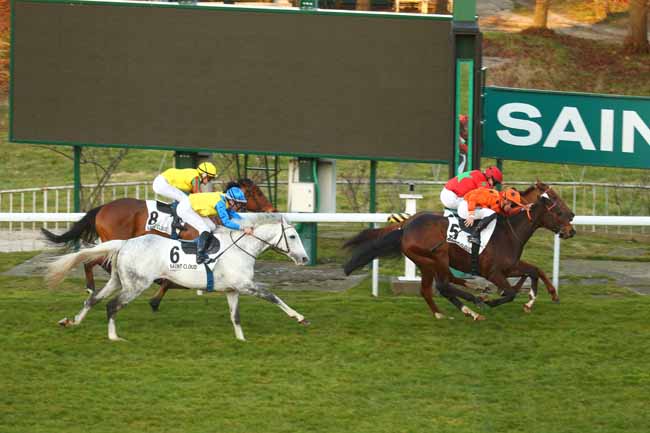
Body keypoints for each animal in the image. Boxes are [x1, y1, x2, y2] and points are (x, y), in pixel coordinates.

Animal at [40, 177, 274, 306]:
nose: (272, 209)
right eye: (257, 191)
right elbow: (172, 278)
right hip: (117, 240)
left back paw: (92, 288)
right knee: (97, 262)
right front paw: (157, 295)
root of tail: (103, 208)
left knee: (94, 261)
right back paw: (93, 288)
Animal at [342, 181, 576, 320]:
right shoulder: (494, 271)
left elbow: (535, 270)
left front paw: (538, 298)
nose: (571, 228)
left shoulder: (510, 266)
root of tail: (406, 226)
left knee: (430, 289)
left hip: (426, 263)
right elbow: (510, 292)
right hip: (435, 257)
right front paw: (491, 301)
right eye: (557, 205)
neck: (509, 231)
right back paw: (473, 304)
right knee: (443, 285)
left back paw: (452, 308)